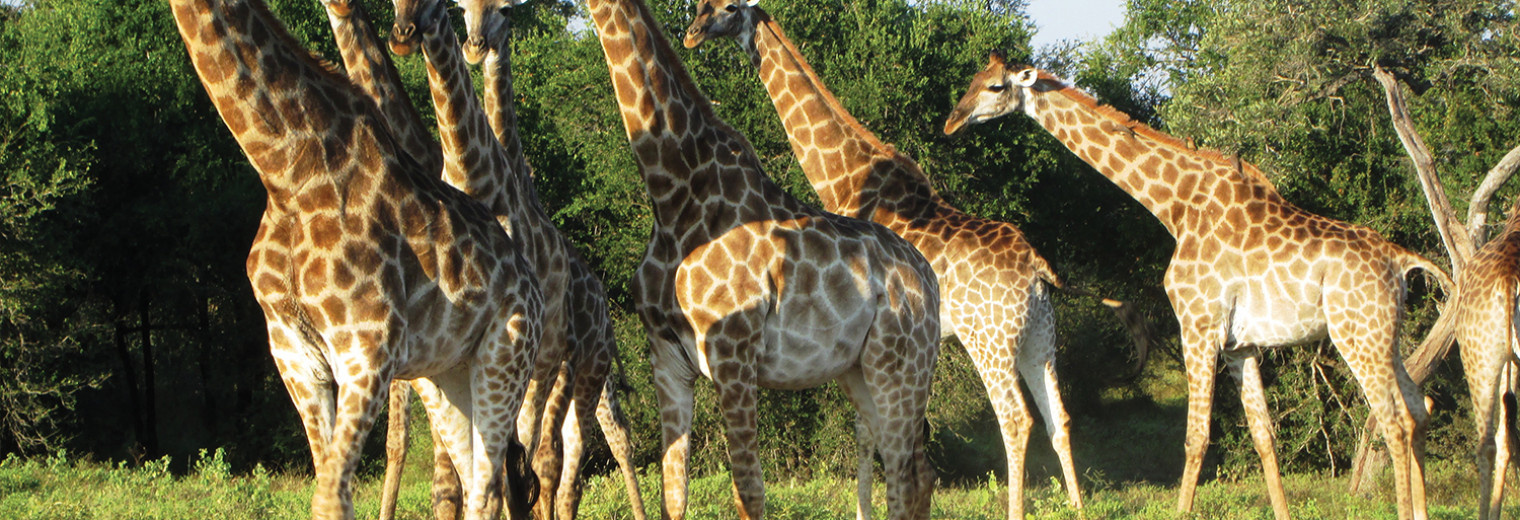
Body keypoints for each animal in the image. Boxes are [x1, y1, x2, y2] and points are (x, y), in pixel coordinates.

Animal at [166, 1, 544, 520]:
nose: (402, 33)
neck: (286, 174)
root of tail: (531, 284)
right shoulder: (293, 355)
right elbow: (328, 489)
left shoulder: (367, 347)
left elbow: (329, 496)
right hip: (447, 377)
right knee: (478, 481)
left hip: (506, 357)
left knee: (487, 489)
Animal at [574, 0, 942, 516]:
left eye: (728, 6)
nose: (693, 33)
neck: (673, 196)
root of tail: (929, 279)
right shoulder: (666, 358)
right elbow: (674, 494)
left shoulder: (733, 353)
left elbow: (748, 492)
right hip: (859, 371)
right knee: (914, 470)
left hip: (901, 366)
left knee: (908, 473)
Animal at [684, 3, 1143, 516]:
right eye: (701, 7)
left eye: (727, 8)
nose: (691, 34)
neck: (846, 176)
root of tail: (1039, 269)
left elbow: (867, 429)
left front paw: (865, 509)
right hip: (1039, 336)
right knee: (1057, 414)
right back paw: (1077, 506)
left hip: (990, 339)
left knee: (1015, 418)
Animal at [942, 53, 1453, 520]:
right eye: (971, 80)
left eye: (993, 87)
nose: (952, 121)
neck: (1175, 206)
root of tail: (1402, 262)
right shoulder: (1240, 344)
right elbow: (1264, 436)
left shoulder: (1198, 323)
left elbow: (1195, 437)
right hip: (1385, 337)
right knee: (1420, 407)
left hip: (1357, 335)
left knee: (1394, 421)